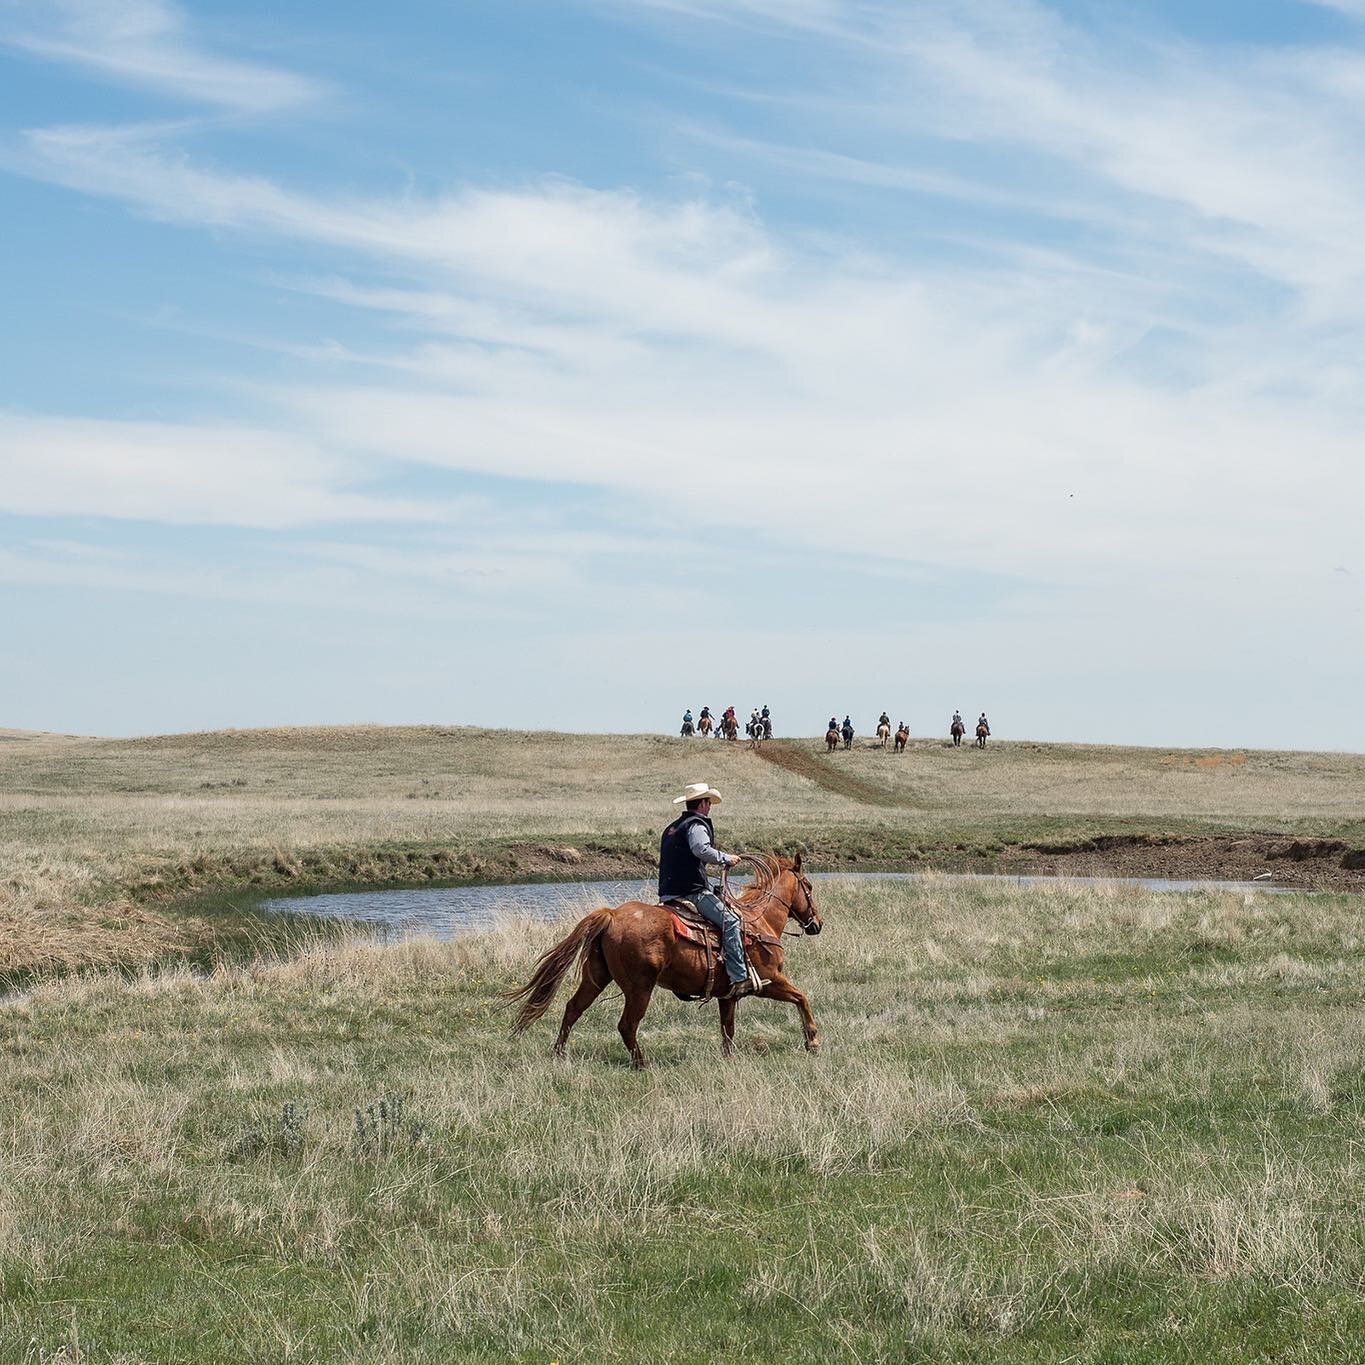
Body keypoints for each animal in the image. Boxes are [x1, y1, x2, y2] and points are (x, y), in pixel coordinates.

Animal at [510, 851, 819, 1064]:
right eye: (809, 886)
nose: (817, 924)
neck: (758, 920)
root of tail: (612, 915)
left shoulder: (728, 995)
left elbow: (727, 1028)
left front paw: (730, 1057)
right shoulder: (769, 980)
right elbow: (802, 998)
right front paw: (812, 1041)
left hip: (596, 977)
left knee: (573, 1009)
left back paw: (559, 1054)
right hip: (639, 988)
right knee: (627, 1025)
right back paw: (641, 1063)